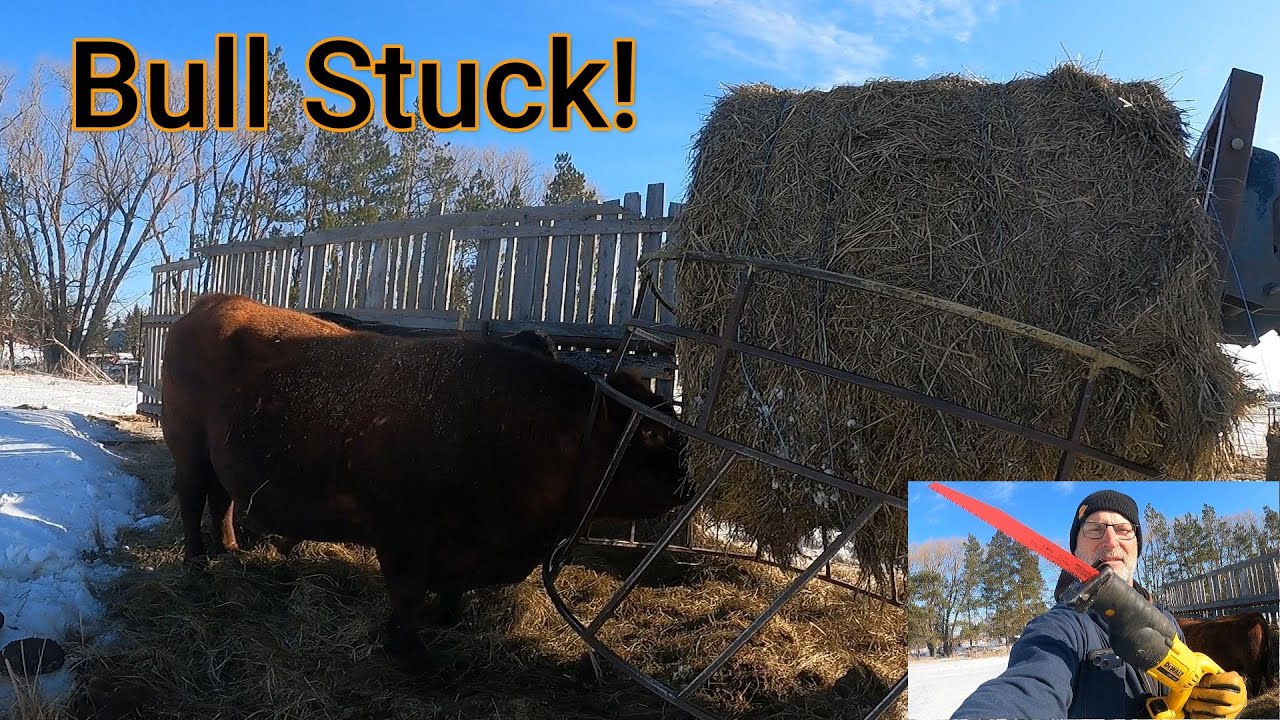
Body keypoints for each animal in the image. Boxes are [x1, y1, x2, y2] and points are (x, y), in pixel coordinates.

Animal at [159, 292, 691, 671]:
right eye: (649, 431)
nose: (687, 475)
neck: (521, 424)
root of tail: (208, 306)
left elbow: (447, 590)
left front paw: (450, 618)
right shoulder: (402, 539)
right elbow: (407, 594)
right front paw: (413, 652)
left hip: (219, 459)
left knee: (222, 500)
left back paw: (230, 550)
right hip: (187, 448)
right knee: (191, 499)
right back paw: (197, 564)